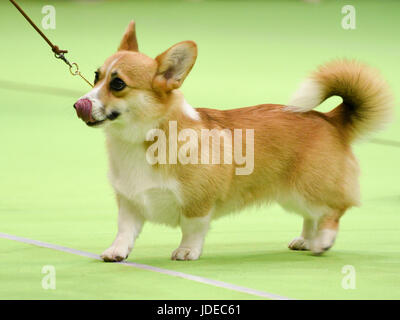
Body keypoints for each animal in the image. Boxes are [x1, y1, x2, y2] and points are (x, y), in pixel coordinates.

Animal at [73, 21, 392, 262]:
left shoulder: (198, 201)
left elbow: (192, 228)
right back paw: (306, 240)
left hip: (309, 187)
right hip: (293, 194)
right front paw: (116, 252)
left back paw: (323, 240)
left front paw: (186, 251)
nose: (78, 105)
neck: (141, 138)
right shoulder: (130, 202)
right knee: (312, 215)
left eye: (118, 84)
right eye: (96, 76)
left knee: (334, 209)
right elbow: (124, 231)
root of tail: (330, 119)